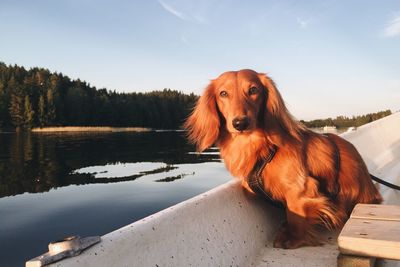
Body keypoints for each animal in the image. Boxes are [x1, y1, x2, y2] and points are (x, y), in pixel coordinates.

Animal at [184, 69, 382, 249]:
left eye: (253, 90)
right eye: (223, 93)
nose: (240, 123)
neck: (263, 148)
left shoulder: (300, 188)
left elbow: (295, 214)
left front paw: (293, 239)